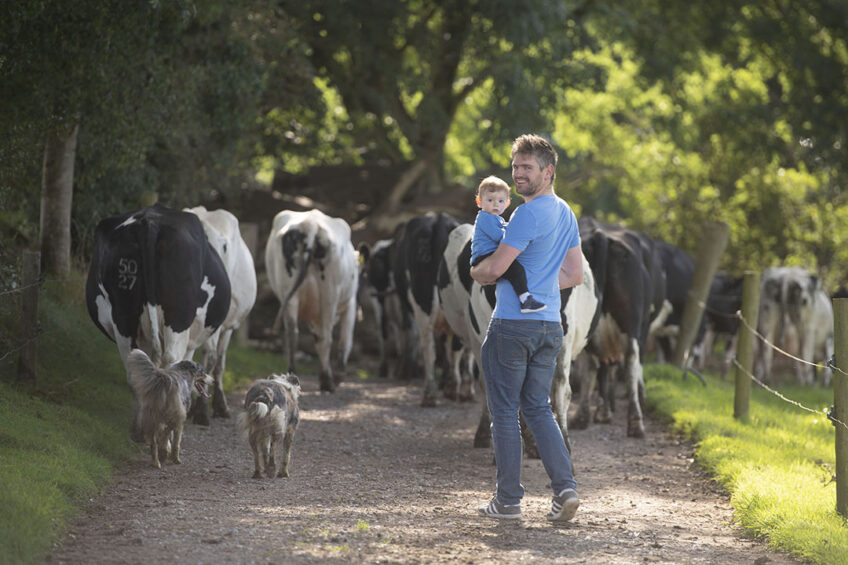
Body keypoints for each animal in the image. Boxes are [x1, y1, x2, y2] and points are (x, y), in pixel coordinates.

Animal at [86, 203, 232, 440]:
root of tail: (149, 221)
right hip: (178, 319)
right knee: (171, 361)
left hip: (123, 317)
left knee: (135, 366)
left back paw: (140, 430)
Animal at [264, 208, 358, 392]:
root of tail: (311, 224)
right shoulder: (350, 303)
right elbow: (346, 340)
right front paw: (339, 375)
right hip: (330, 294)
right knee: (326, 338)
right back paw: (327, 381)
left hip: (289, 292)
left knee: (292, 334)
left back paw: (292, 374)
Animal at [576, 216, 668, 436]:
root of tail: (599, 234)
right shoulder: (643, 328)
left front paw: (605, 409)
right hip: (632, 324)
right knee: (631, 362)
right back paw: (635, 421)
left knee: (591, 365)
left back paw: (583, 416)